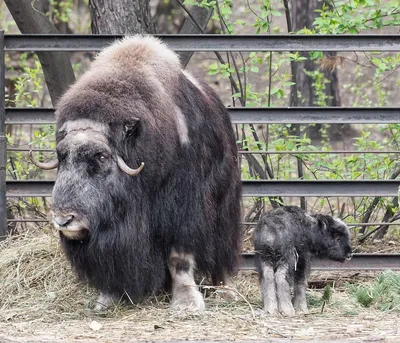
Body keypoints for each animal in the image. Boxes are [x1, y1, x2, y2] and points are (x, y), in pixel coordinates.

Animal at [30, 36, 241, 314]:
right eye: (62, 156)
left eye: (101, 157)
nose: (64, 220)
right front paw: (107, 299)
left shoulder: (183, 206)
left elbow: (179, 256)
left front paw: (187, 303)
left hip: (223, 202)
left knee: (221, 245)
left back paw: (227, 291)